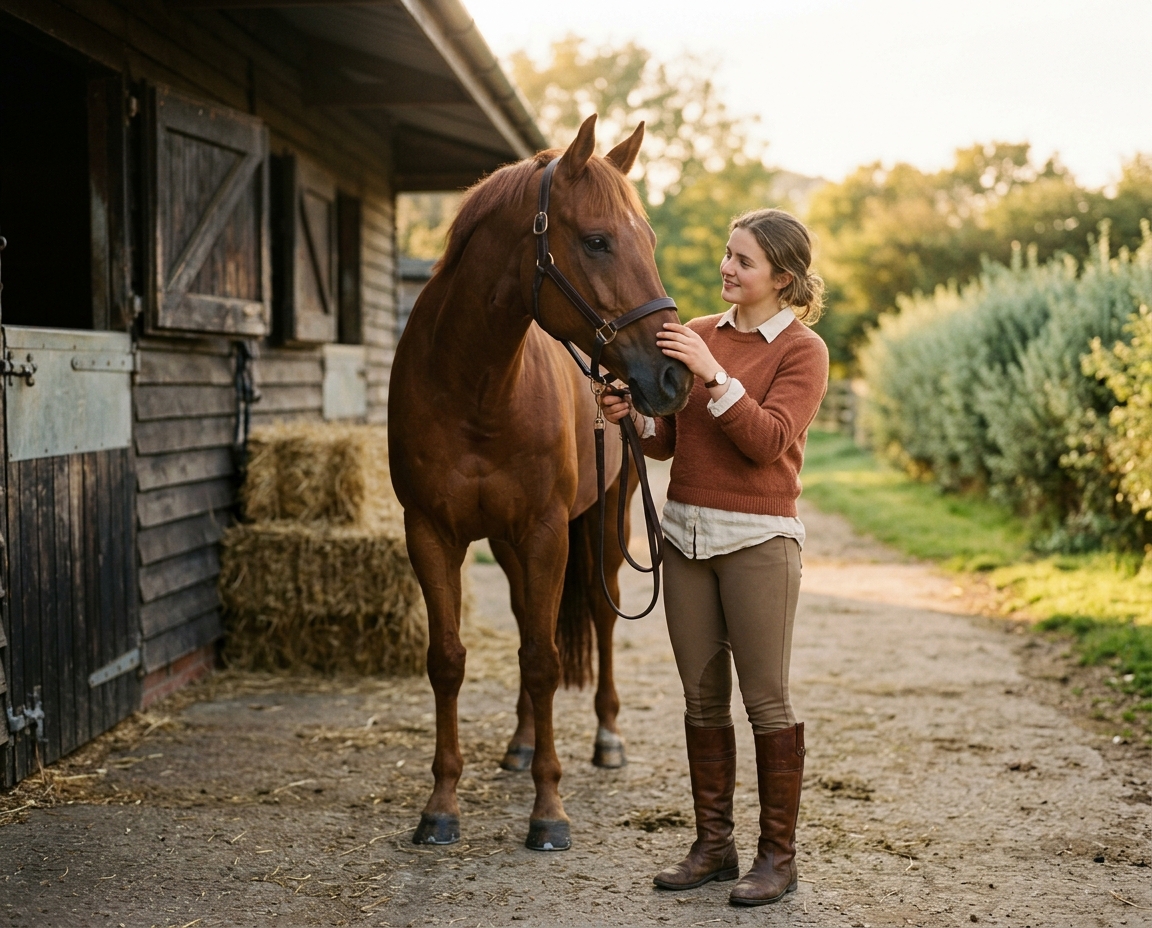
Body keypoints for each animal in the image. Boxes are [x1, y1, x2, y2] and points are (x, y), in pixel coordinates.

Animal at [388, 114, 693, 852]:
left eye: (647, 240)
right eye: (597, 240)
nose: (674, 377)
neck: (476, 389)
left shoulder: (548, 532)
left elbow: (546, 660)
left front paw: (548, 811)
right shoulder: (430, 532)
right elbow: (450, 660)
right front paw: (441, 804)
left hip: (607, 523)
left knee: (601, 619)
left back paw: (607, 739)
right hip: (507, 544)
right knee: (532, 621)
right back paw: (521, 743)